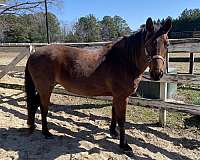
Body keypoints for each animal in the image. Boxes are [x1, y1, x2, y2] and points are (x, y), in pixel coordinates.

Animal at [24, 17, 172, 152]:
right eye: (149, 42)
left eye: (167, 44)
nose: (157, 74)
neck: (124, 60)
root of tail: (33, 55)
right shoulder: (121, 97)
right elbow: (122, 119)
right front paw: (124, 145)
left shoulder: (116, 96)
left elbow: (114, 113)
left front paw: (113, 132)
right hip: (45, 88)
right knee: (43, 108)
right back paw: (46, 133)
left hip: (44, 88)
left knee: (35, 104)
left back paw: (33, 126)